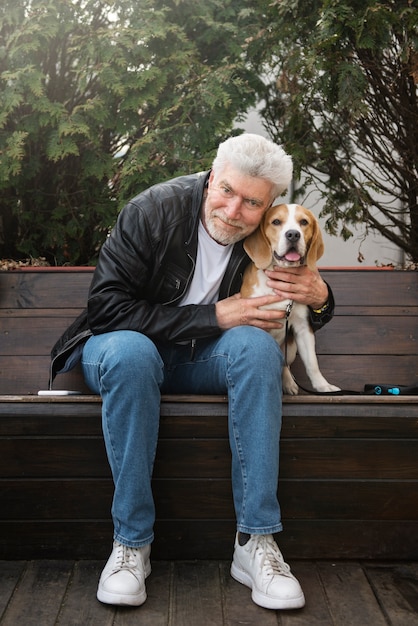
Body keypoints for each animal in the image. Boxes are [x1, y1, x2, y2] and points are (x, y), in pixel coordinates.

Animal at [242, 202, 340, 392]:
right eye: (276, 221)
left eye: (304, 222)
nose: (293, 234)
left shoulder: (303, 328)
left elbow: (312, 364)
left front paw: (322, 386)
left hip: (292, 347)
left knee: (285, 363)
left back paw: (288, 382)